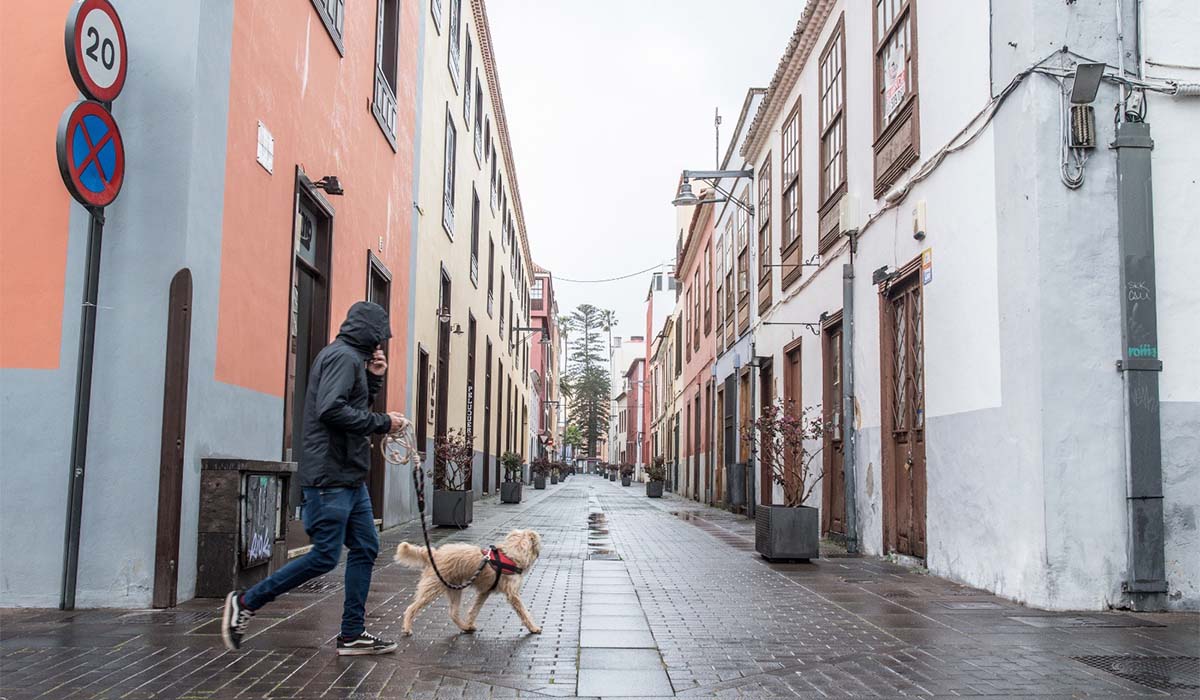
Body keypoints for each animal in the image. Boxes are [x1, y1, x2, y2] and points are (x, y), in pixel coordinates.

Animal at [393, 530, 544, 633]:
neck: (511, 555)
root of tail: (435, 554)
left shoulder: (484, 592)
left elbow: (474, 609)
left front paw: (470, 623)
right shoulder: (513, 595)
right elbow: (524, 612)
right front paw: (533, 627)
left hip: (454, 589)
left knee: (453, 613)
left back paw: (465, 627)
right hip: (432, 588)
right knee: (411, 608)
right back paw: (407, 627)